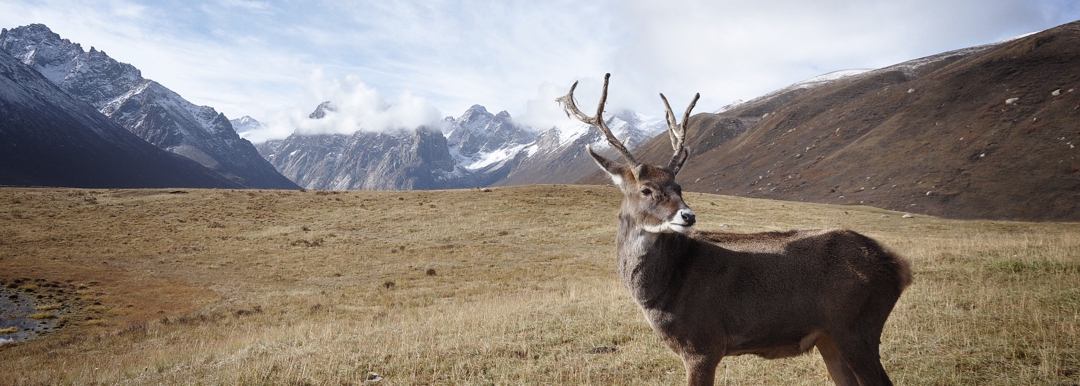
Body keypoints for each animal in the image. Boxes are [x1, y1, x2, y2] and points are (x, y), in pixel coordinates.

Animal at [561, 72, 915, 384]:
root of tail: (898, 266)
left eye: (679, 185)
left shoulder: (704, 344)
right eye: (646, 189)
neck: (663, 293)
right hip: (830, 338)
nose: (688, 216)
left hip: (856, 327)